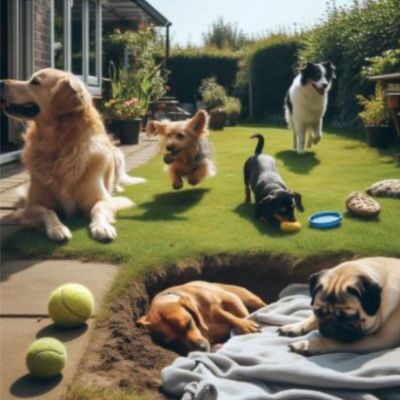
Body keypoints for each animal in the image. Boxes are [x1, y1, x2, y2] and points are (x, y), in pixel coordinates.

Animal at [0, 68, 144, 241]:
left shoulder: (104, 199)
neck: (59, 147)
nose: (1, 82)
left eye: (35, 82)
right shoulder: (32, 206)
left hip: (117, 155)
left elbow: (99, 207)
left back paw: (118, 187)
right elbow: (48, 211)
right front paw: (58, 228)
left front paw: (101, 227)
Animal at [138, 282, 266, 354]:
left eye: (188, 323)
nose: (202, 349)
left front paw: (245, 324)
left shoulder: (229, 299)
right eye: (173, 343)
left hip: (248, 298)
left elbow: (230, 315)